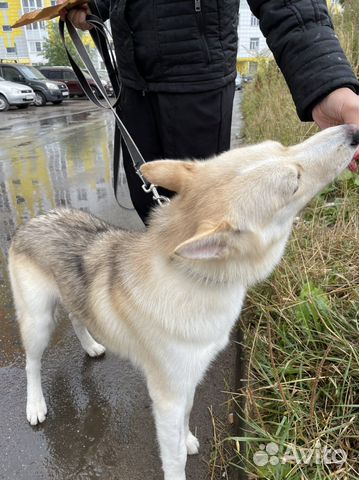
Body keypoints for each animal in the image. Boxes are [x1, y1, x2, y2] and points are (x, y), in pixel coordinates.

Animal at [7, 124, 358, 480]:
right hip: (38, 321)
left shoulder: (187, 382)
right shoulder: (166, 397)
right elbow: (173, 456)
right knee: (32, 363)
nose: (352, 131)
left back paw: (91, 345)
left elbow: (187, 416)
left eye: (281, 146)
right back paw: (35, 404)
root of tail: (33, 220)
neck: (191, 278)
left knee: (78, 317)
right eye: (294, 183)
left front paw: (186, 436)